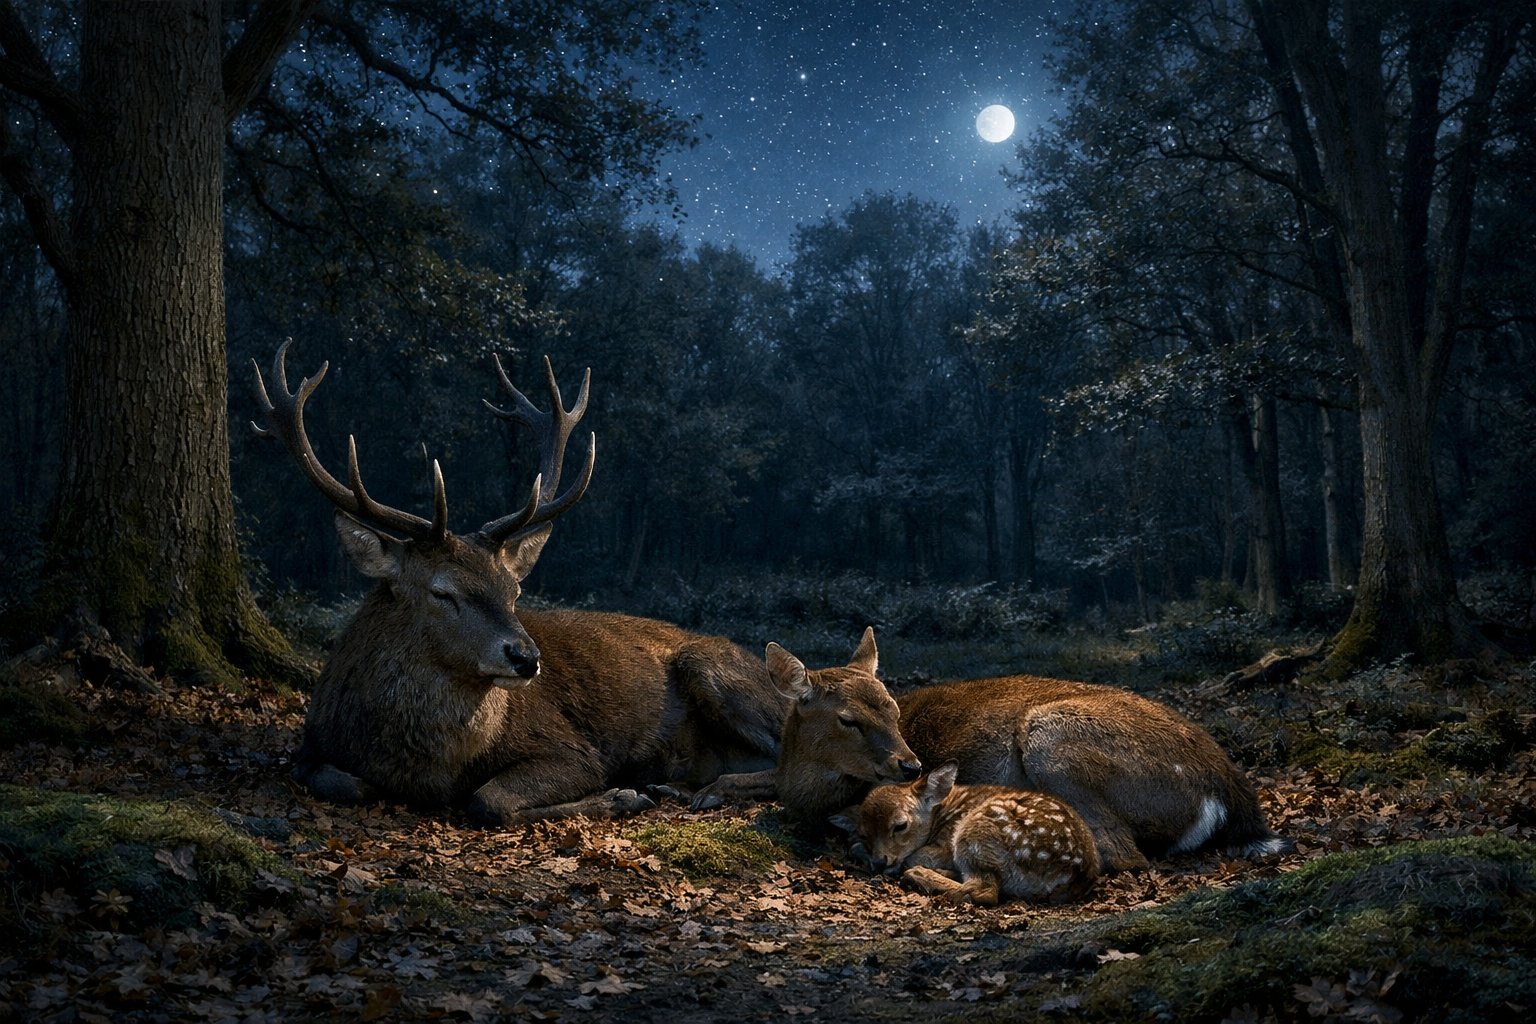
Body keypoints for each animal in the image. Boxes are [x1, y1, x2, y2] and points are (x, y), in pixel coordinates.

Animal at [251, 341, 791, 823]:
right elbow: (343, 782)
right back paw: (678, 786)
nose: (526, 657)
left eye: (514, 591)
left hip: (717, 668)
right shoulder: (313, 741)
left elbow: (489, 801)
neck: (421, 765)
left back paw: (705, 789)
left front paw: (620, 796)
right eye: (442, 592)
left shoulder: (571, 748)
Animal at [694, 629, 1291, 872]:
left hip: (1052, 736)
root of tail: (1230, 796)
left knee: (1123, 853)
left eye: (892, 708)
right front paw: (703, 792)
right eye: (848, 718)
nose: (911, 764)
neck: (803, 782)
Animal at [831, 764, 1100, 906]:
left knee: (985, 891)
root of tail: (1075, 873)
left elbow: (914, 856)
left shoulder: (945, 844)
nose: (880, 861)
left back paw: (919, 876)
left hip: (975, 831)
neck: (940, 812)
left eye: (900, 825)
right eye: (865, 834)